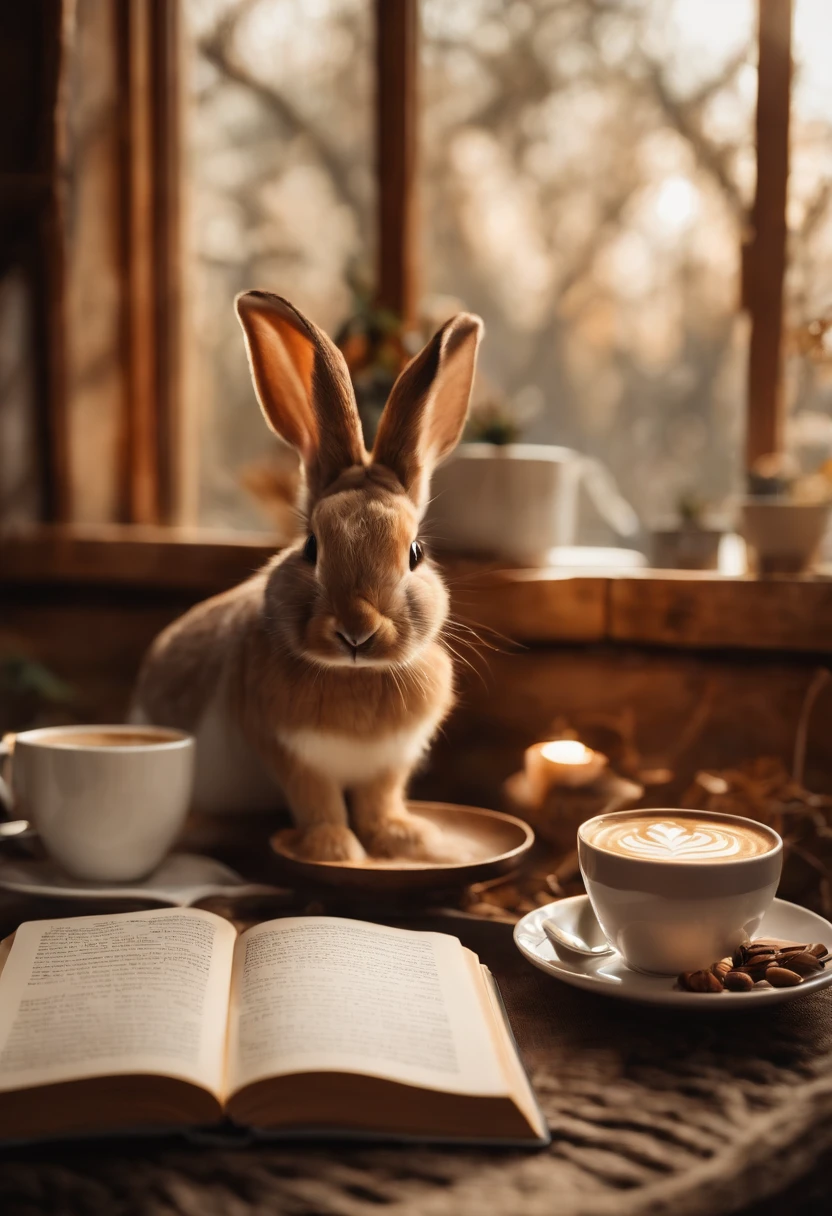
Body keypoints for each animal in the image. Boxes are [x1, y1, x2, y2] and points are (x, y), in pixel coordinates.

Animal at [131, 291, 483, 863]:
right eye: (311, 547)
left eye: (415, 553)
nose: (357, 630)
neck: (356, 675)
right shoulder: (289, 753)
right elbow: (318, 801)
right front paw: (334, 849)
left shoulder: (391, 763)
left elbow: (380, 799)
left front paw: (402, 839)